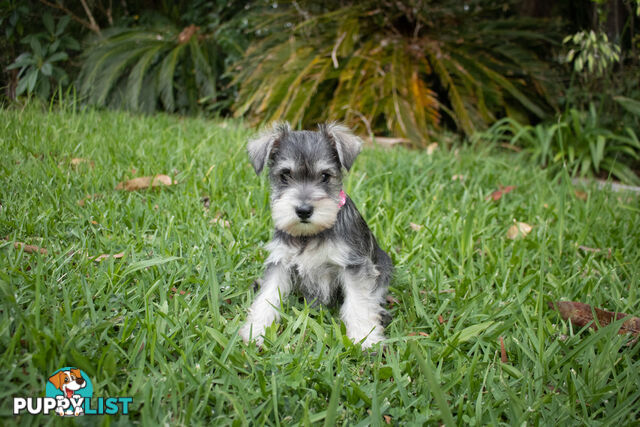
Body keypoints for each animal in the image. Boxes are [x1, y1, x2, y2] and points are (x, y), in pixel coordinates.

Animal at [238, 122, 392, 350]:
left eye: (325, 176)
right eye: (285, 175)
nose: (303, 210)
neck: (309, 234)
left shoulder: (354, 264)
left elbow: (359, 302)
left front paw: (365, 339)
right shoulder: (280, 262)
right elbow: (268, 296)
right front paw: (255, 330)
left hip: (383, 264)